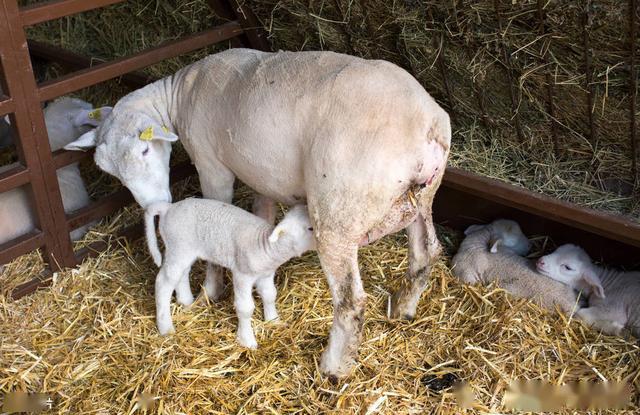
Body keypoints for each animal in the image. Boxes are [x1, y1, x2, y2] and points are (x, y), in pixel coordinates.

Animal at [144, 200, 316, 350]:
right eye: (311, 228)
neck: (266, 245)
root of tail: (168, 208)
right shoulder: (242, 275)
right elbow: (245, 308)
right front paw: (247, 340)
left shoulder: (266, 275)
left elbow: (270, 295)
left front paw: (273, 320)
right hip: (178, 246)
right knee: (163, 282)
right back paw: (165, 327)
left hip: (183, 251)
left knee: (181, 274)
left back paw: (186, 301)